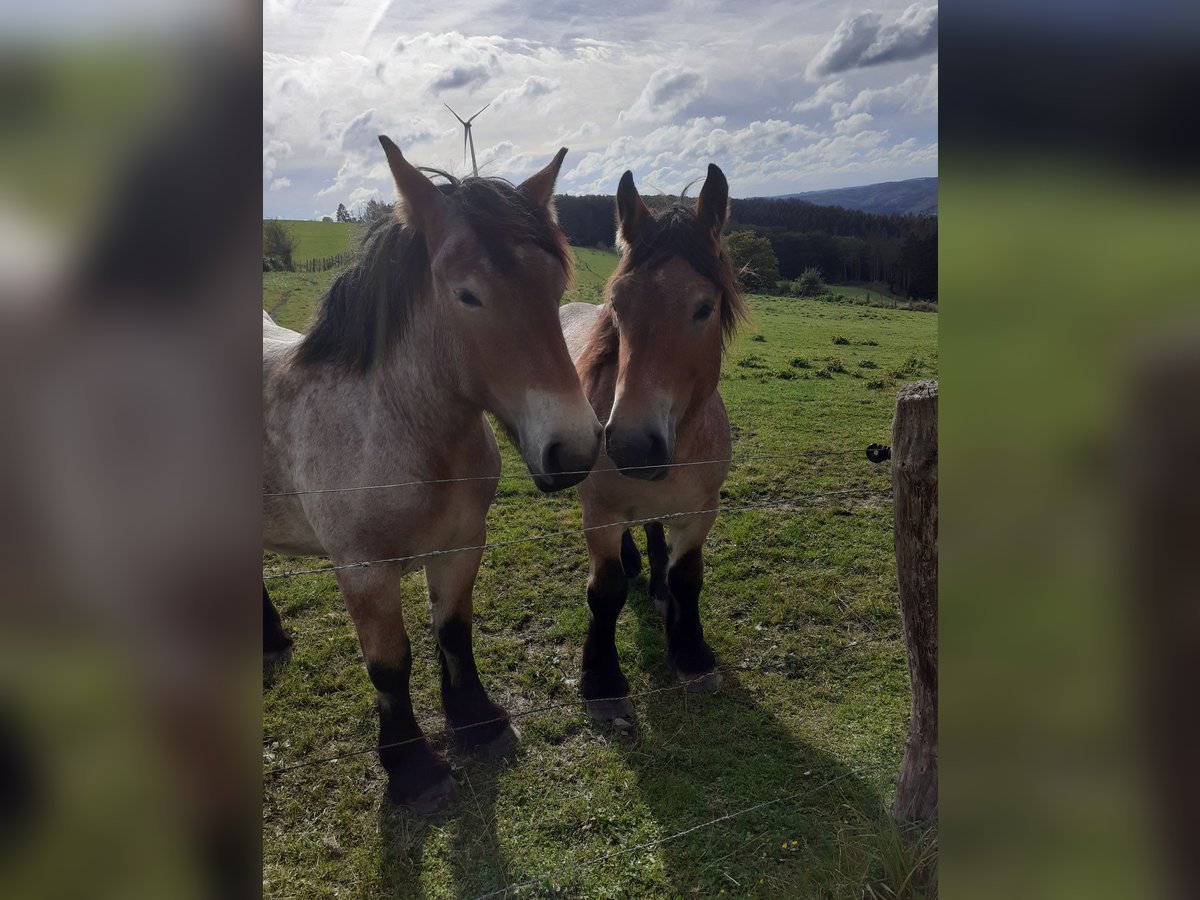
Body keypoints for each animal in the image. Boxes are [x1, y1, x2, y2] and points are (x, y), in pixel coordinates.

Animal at [261, 135, 600, 816]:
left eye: (555, 288)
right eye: (466, 294)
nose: (574, 449)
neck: (398, 429)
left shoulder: (462, 543)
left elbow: (453, 631)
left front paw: (477, 721)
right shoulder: (364, 569)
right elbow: (390, 664)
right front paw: (414, 769)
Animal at [559, 162, 744, 724]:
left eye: (704, 307)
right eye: (617, 305)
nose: (632, 447)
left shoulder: (702, 509)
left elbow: (689, 577)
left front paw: (691, 652)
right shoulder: (598, 514)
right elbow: (606, 591)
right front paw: (601, 681)